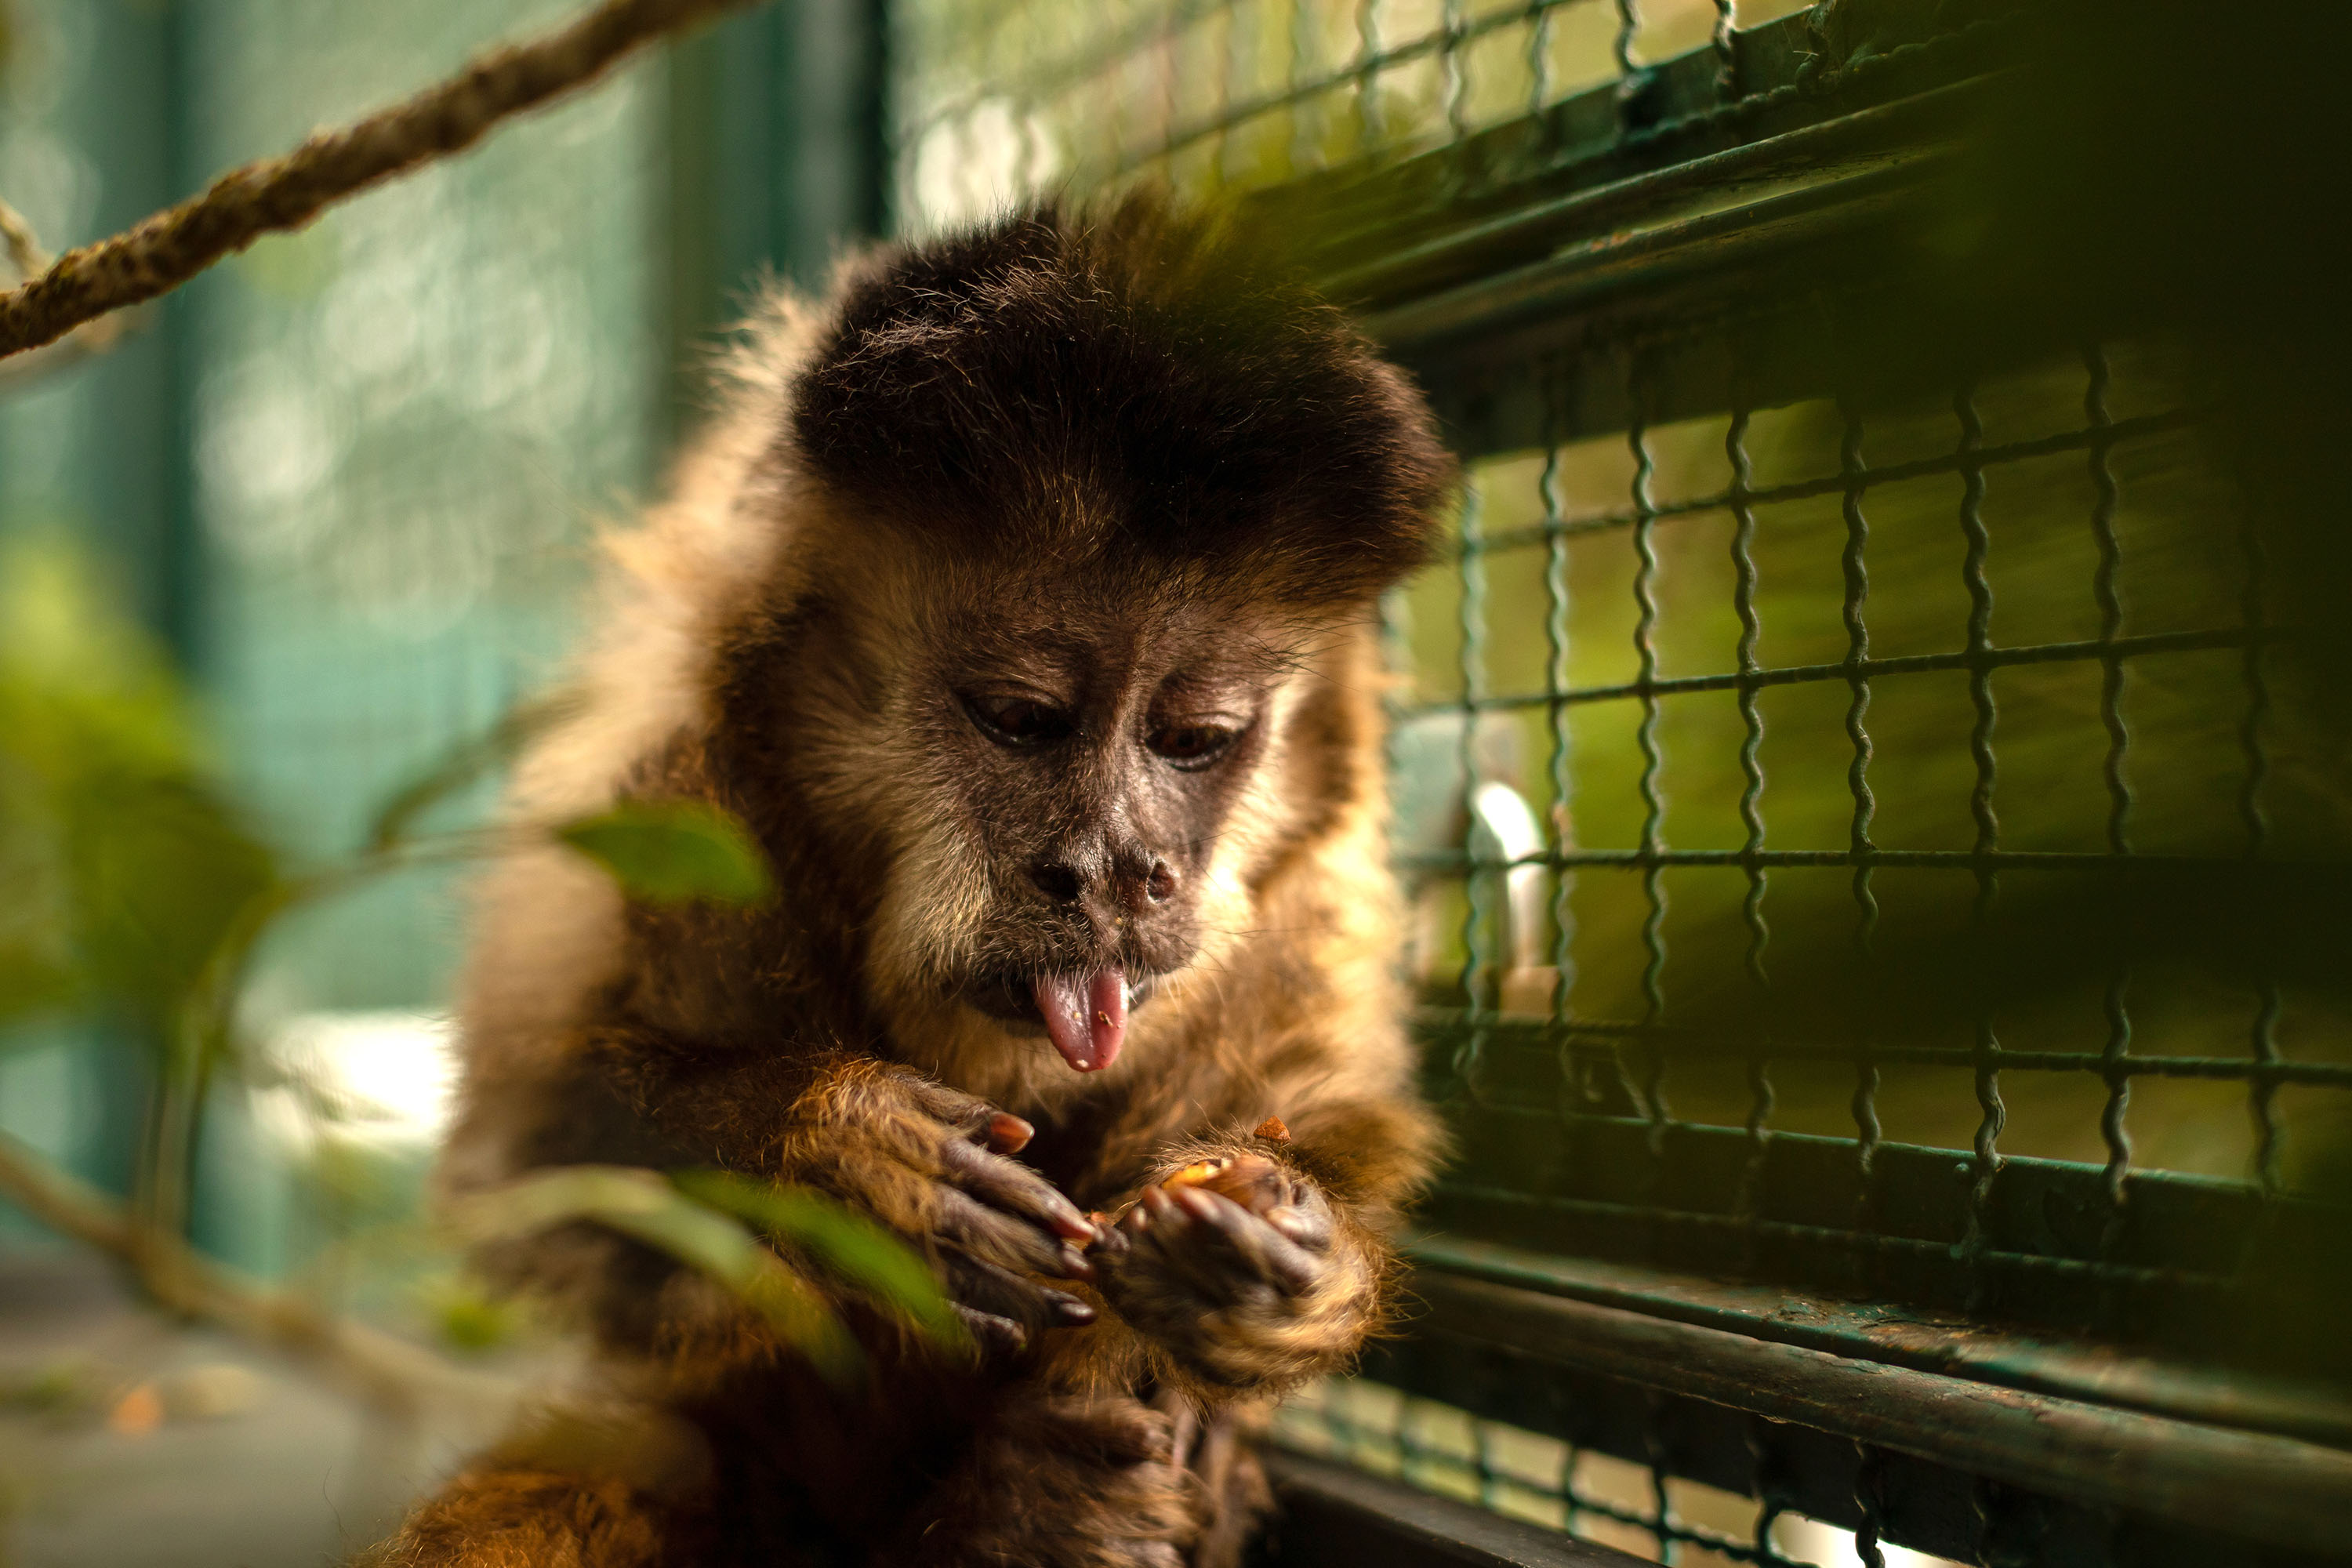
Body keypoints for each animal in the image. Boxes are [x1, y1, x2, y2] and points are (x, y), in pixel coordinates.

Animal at [381, 192, 1449, 1568]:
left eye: (1194, 738)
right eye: (1023, 721)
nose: (1112, 869)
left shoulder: (1319, 884)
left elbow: (1324, 1112)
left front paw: (1283, 1259)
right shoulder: (678, 780)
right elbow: (527, 1178)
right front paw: (840, 1159)